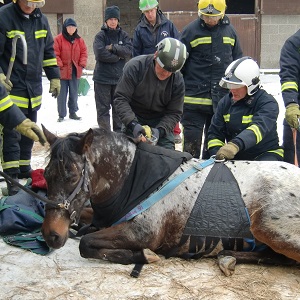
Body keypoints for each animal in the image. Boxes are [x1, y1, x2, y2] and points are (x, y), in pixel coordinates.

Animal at [41, 125, 300, 276]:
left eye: (72, 176)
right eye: (46, 175)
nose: (51, 235)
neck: (134, 178)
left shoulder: (143, 232)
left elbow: (85, 244)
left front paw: (145, 256)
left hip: (268, 227)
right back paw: (227, 257)